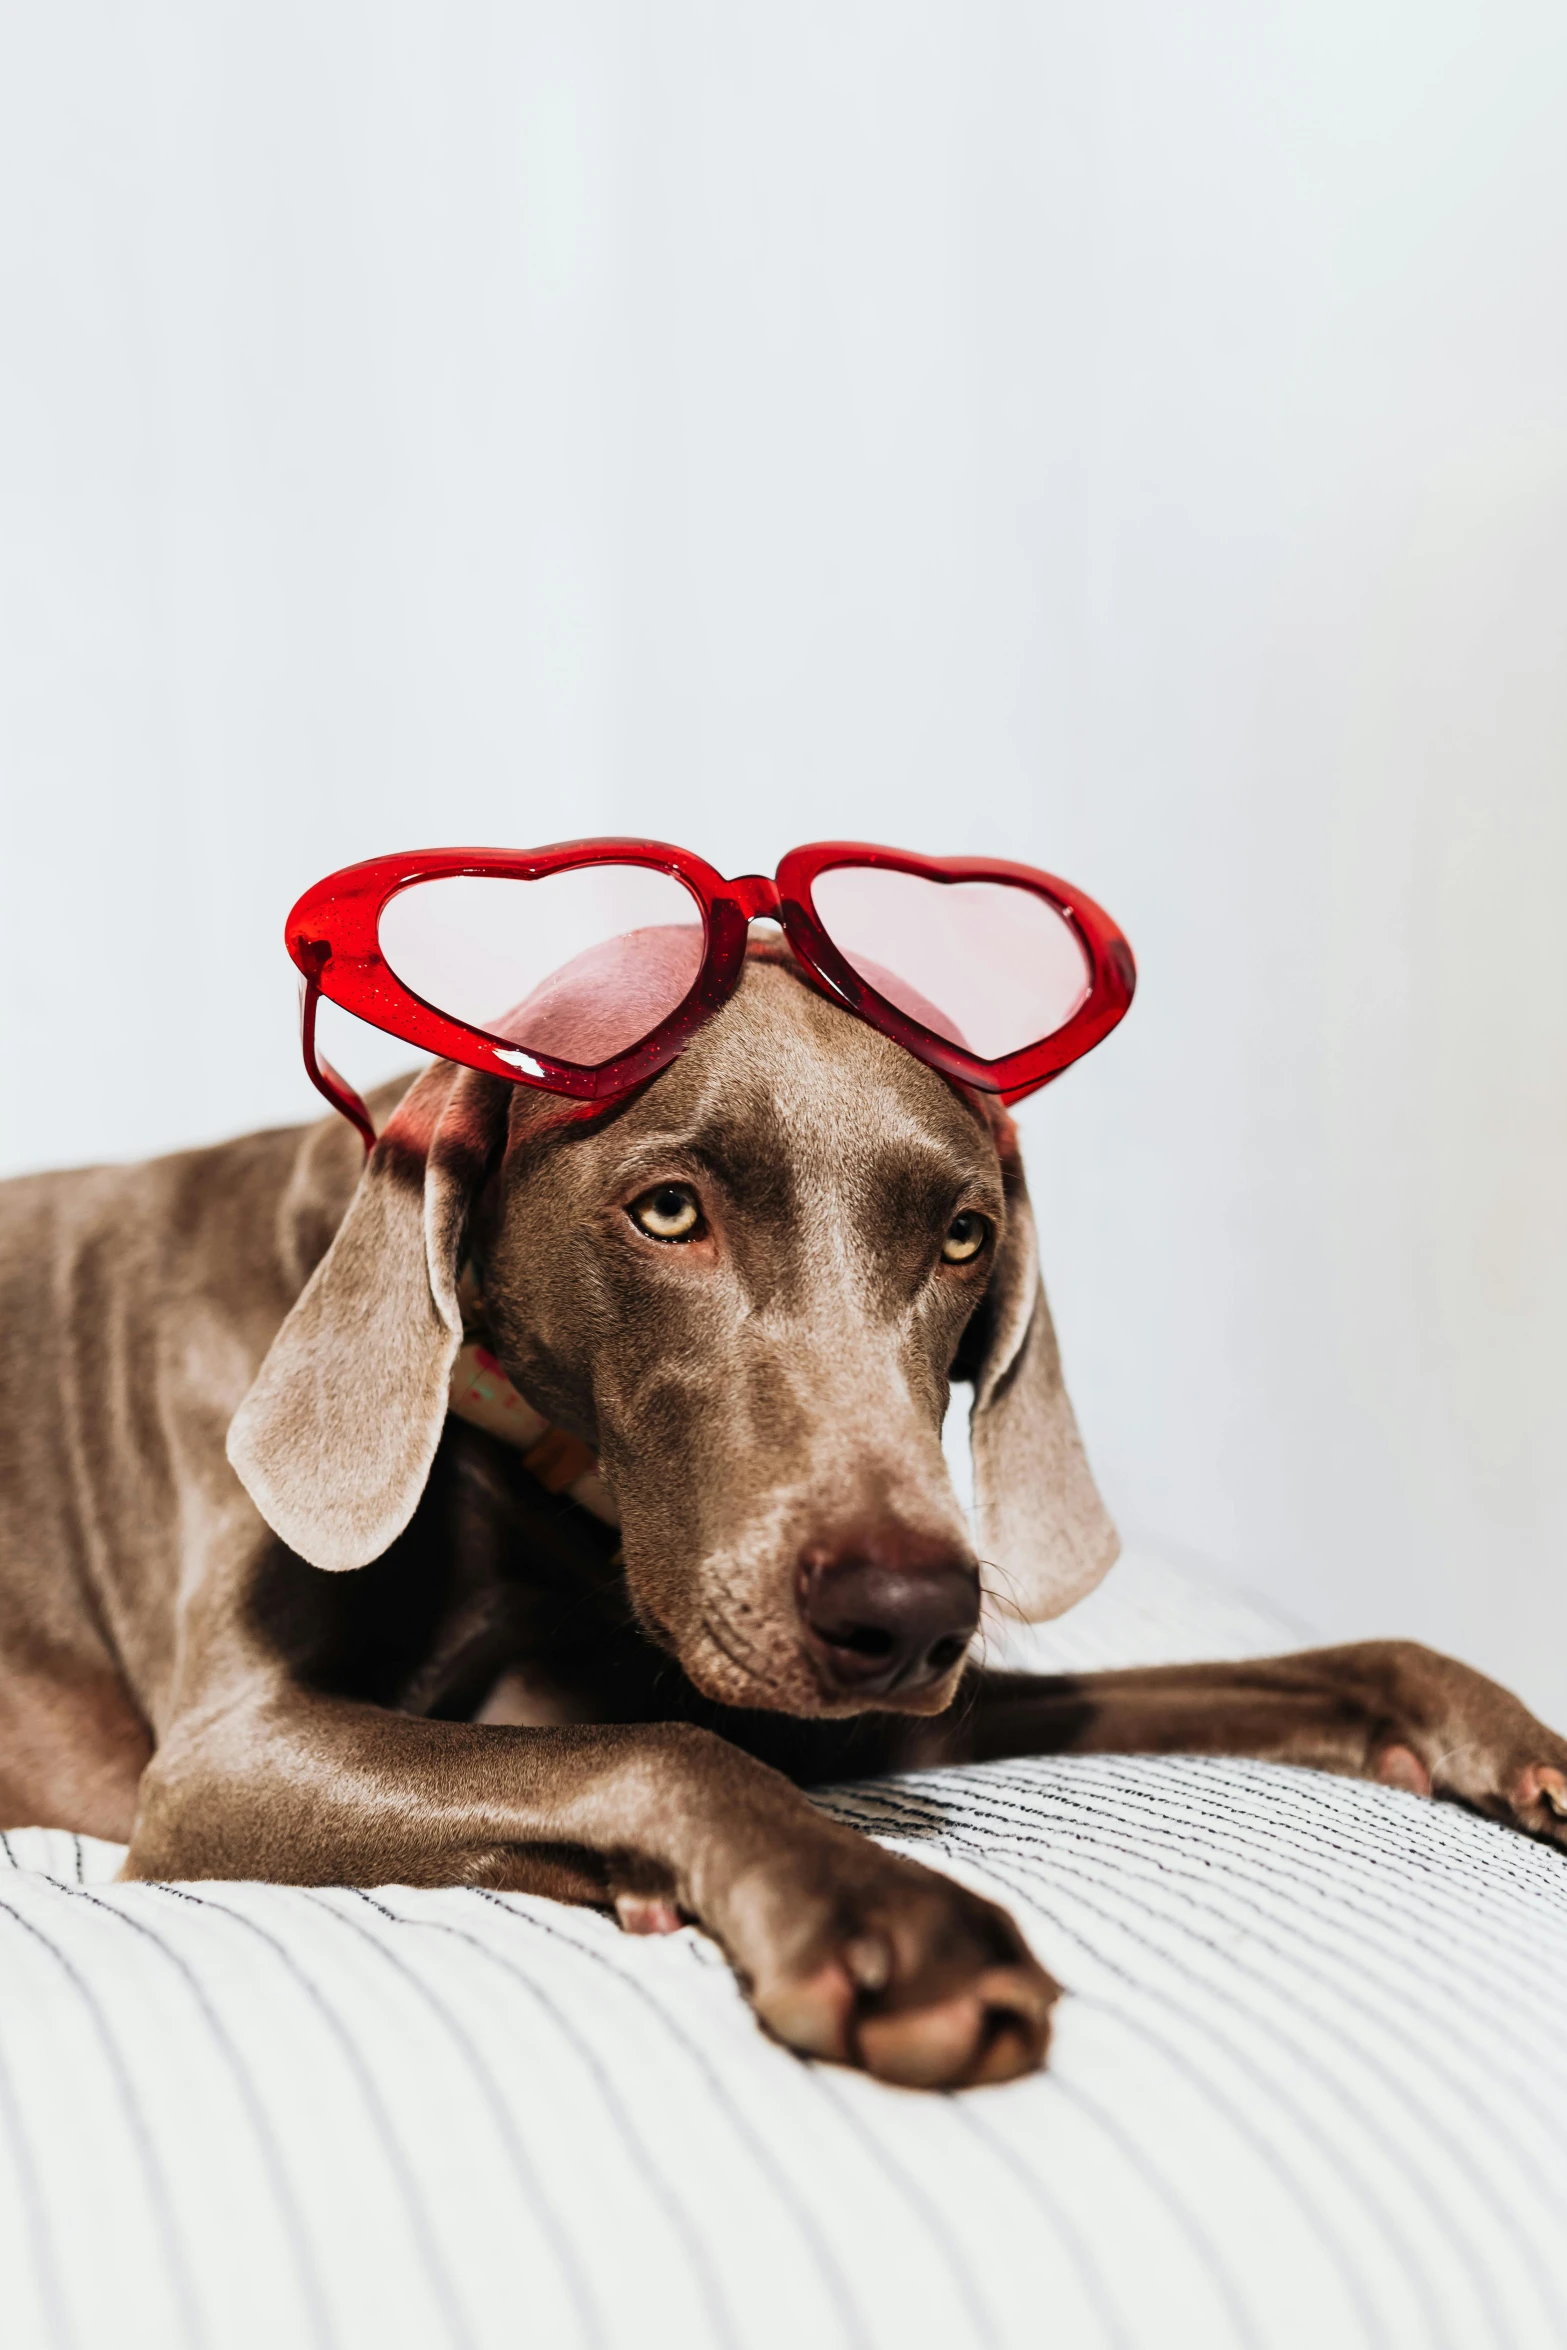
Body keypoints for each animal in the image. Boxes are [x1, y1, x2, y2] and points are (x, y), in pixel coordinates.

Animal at [0, 944, 1559, 2086]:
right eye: (667, 1211)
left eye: (961, 1235)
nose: (908, 1615)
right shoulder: (225, 1759)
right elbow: (663, 1743)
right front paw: (889, 1922)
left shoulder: (879, 1709)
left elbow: (1274, 1667)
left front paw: (1483, 1728)